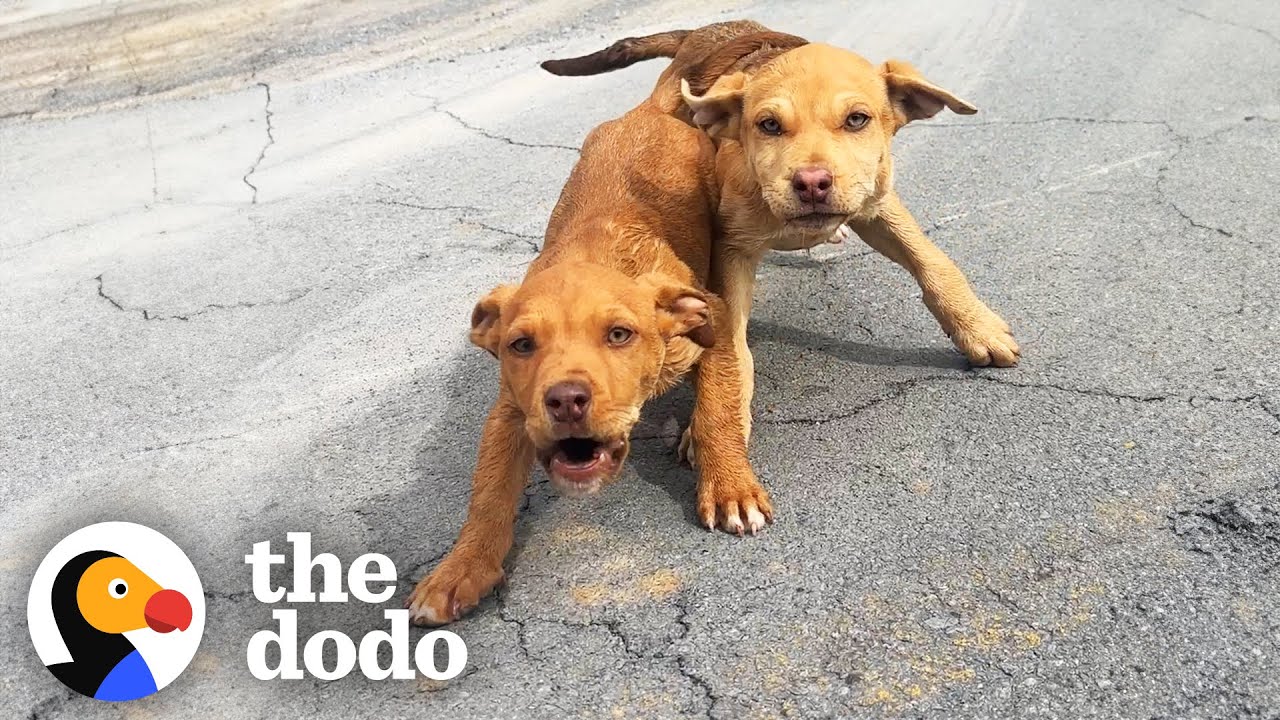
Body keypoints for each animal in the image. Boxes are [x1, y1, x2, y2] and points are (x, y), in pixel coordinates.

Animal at [409, 95, 768, 622]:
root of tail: (649, 107)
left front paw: (729, 487)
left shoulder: (713, 328)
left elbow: (717, 412)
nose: (565, 401)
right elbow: (488, 491)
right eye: (521, 345)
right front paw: (462, 567)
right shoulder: (511, 410)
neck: (593, 254)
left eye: (620, 335)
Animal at [540, 22, 1018, 453]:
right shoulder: (731, 249)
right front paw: (721, 420)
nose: (811, 183)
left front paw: (977, 327)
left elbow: (930, 258)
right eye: (768, 125)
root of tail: (707, 29)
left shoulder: (877, 205)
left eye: (857, 119)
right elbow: (733, 345)